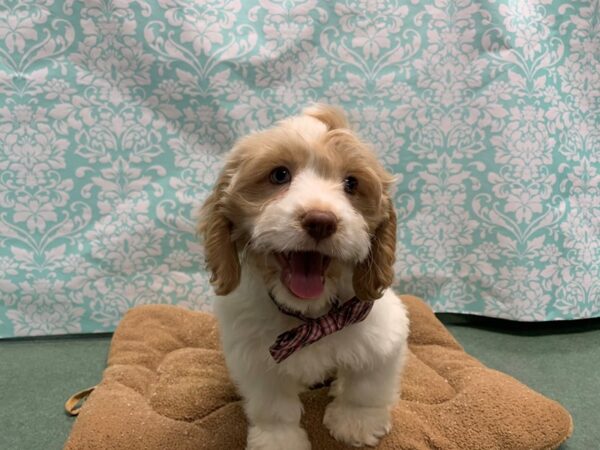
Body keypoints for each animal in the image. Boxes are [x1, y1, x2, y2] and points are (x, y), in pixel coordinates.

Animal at [199, 103, 410, 448]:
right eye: (279, 175)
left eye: (351, 183)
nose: (321, 220)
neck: (311, 317)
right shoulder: (255, 360)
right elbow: (273, 407)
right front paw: (278, 440)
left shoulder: (383, 334)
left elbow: (366, 387)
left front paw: (357, 422)